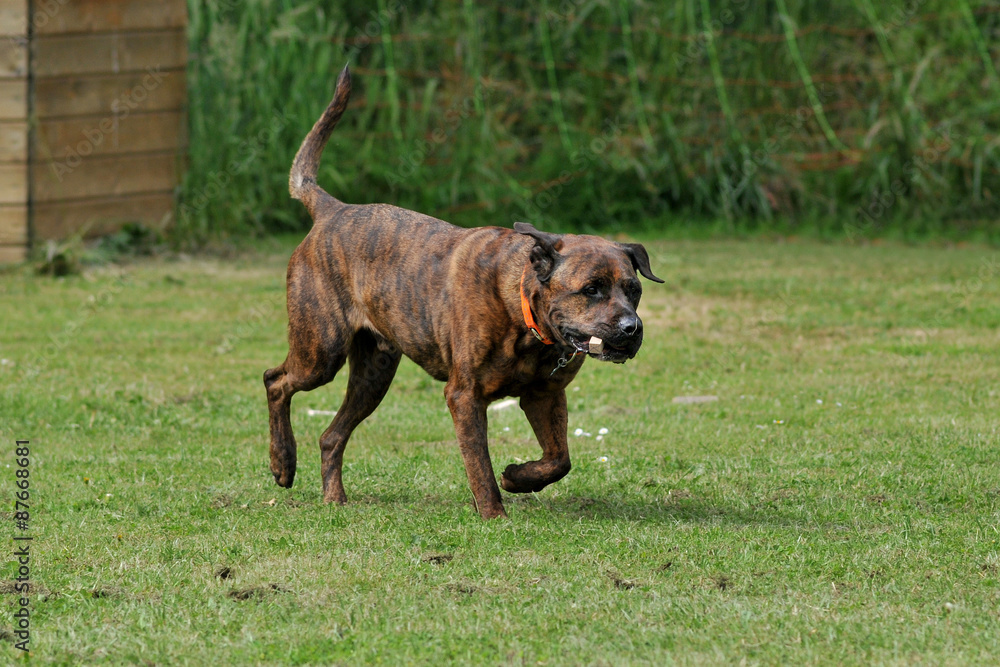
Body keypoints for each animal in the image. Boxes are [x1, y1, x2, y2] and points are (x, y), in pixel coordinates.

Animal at [264, 68, 664, 520]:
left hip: (373, 373)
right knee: (276, 381)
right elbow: (480, 465)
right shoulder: (465, 396)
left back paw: (334, 498)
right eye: (591, 289)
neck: (522, 313)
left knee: (331, 435)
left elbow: (559, 459)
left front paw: (519, 477)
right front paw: (494, 515)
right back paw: (282, 461)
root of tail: (332, 209)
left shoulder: (544, 395)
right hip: (321, 351)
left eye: (633, 290)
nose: (631, 328)